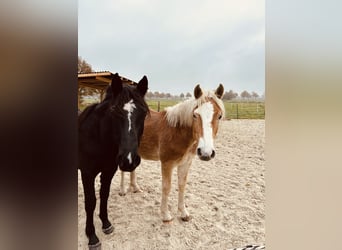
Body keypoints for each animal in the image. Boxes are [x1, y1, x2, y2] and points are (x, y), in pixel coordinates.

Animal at [79, 73, 148, 249]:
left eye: (144, 113)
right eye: (114, 111)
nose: (129, 160)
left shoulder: (109, 171)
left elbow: (104, 195)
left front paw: (106, 224)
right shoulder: (87, 173)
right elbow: (90, 202)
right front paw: (92, 236)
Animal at [120, 84, 224, 223]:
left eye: (219, 116)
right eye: (195, 115)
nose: (206, 152)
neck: (177, 131)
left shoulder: (185, 163)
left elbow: (182, 185)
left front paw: (184, 213)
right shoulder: (167, 163)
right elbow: (166, 187)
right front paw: (165, 215)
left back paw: (135, 188)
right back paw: (122, 190)